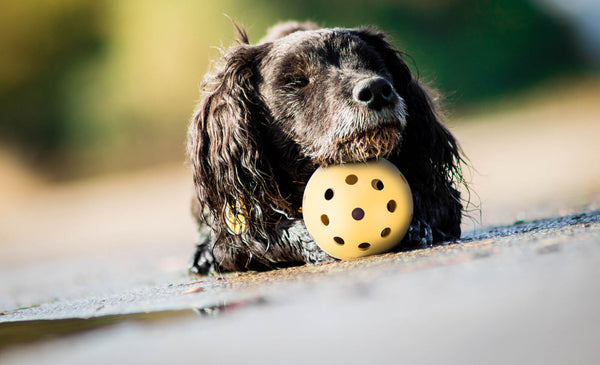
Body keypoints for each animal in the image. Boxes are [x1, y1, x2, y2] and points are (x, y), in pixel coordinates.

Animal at [185, 21, 466, 274]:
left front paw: (417, 222)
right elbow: (263, 237)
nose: (377, 89)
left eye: (373, 64)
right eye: (296, 81)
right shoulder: (234, 234)